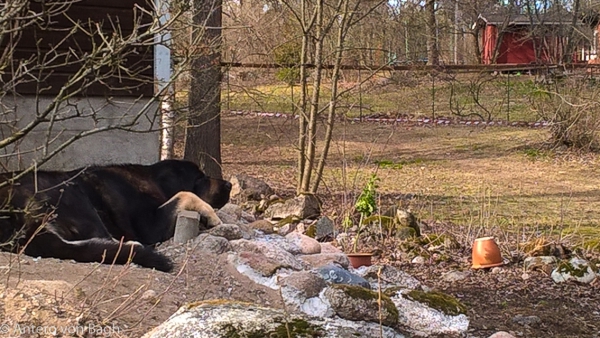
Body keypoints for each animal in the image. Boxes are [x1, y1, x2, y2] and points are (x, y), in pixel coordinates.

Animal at [0, 160, 232, 274]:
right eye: (200, 178)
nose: (229, 184)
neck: (150, 179)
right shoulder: (150, 226)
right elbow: (186, 194)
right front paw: (213, 216)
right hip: (73, 194)